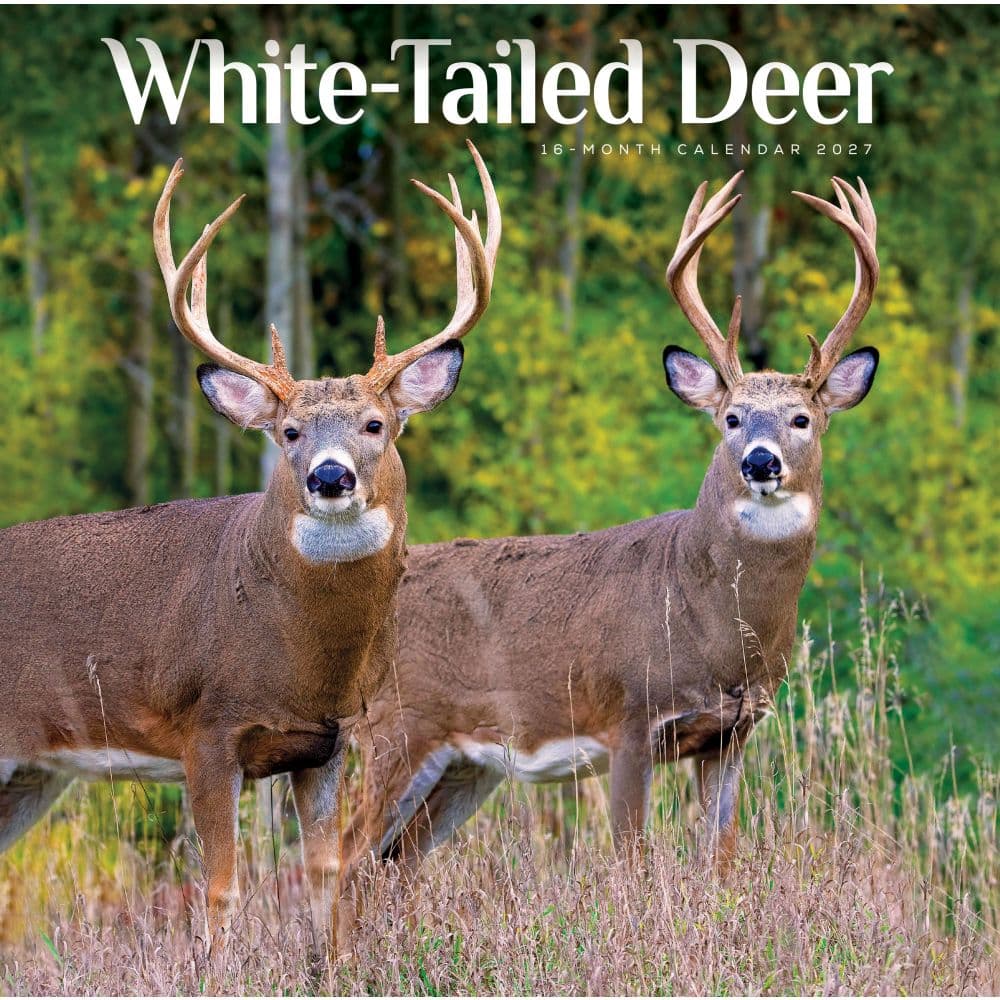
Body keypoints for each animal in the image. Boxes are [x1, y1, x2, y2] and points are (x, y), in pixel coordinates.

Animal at [0, 139, 500, 952]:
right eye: (288, 432)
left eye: (376, 425)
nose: (330, 477)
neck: (297, 655)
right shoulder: (205, 732)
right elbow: (222, 890)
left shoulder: (328, 744)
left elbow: (328, 875)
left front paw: (332, 966)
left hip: (31, 772)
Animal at [340, 172, 879, 923]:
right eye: (731, 418)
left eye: (802, 418)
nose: (761, 461)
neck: (714, 623)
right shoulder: (630, 716)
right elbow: (632, 862)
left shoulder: (732, 733)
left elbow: (721, 862)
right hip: (395, 729)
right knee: (334, 861)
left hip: (462, 765)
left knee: (390, 865)